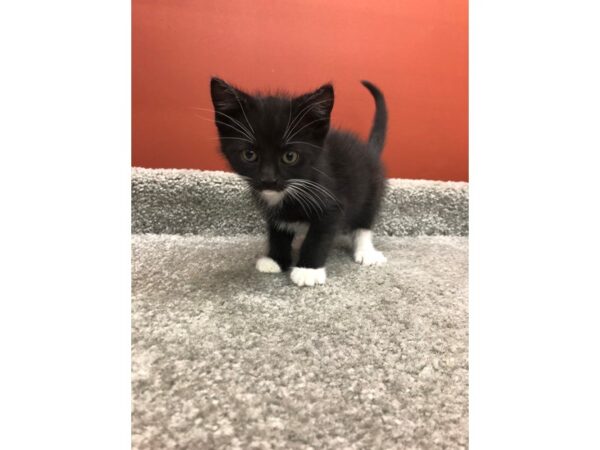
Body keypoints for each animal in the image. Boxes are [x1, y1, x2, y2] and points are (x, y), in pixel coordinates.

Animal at [211, 77, 390, 286]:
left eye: (290, 156)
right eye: (249, 154)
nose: (268, 180)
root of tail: (369, 149)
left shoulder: (331, 204)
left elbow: (318, 236)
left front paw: (308, 270)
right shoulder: (274, 209)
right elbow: (279, 229)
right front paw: (276, 260)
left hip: (371, 188)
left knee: (364, 220)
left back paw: (366, 251)